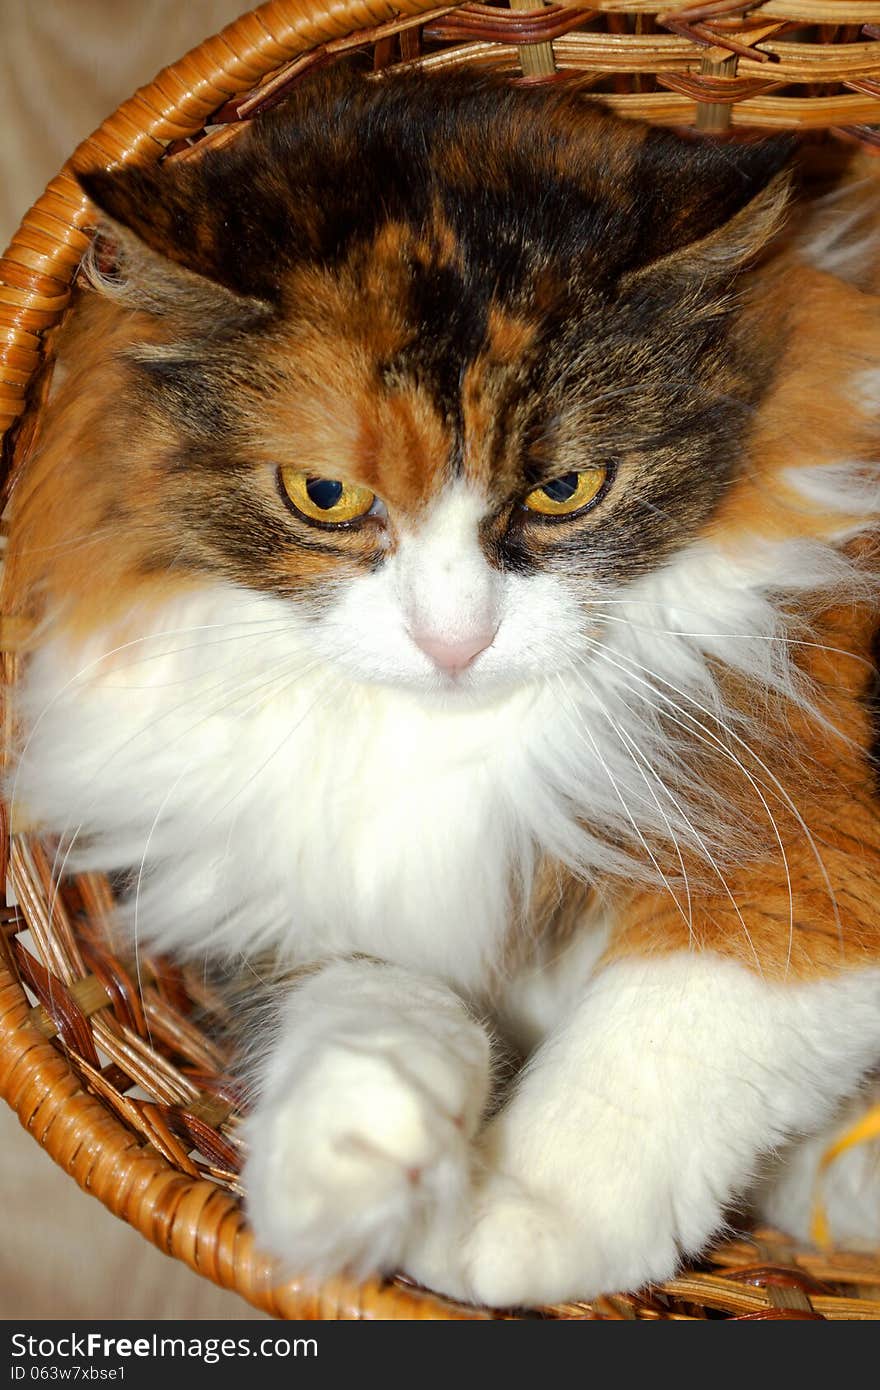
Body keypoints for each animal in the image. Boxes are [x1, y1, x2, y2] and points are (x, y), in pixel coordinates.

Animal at [6, 62, 878, 1301]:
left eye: (565, 488)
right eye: (324, 495)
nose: (454, 641)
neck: (450, 738)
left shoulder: (805, 840)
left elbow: (671, 1027)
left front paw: (504, 1219)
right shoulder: (267, 892)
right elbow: (359, 993)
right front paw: (358, 1154)